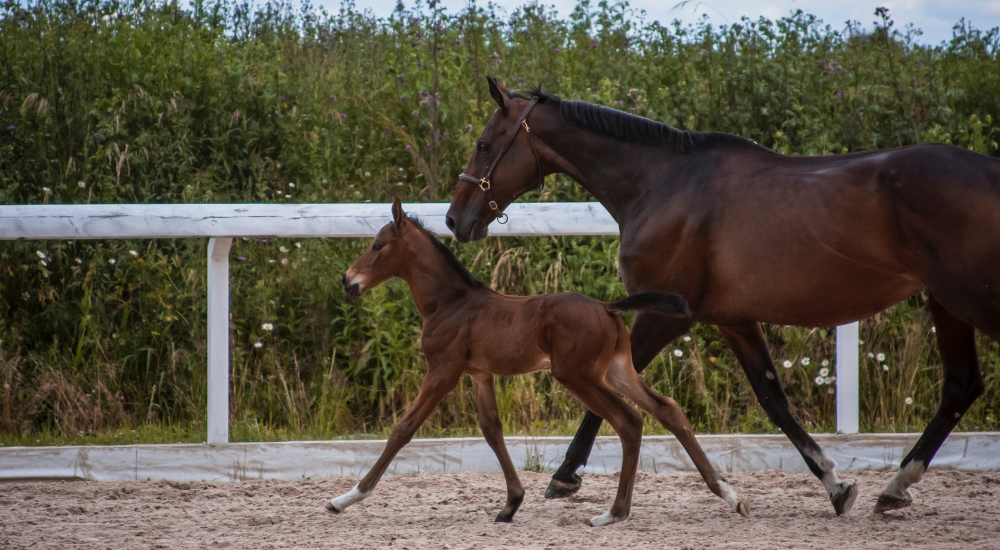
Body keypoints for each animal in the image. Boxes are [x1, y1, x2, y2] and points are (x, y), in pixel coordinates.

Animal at [324, 199, 748, 532]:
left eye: (378, 246)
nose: (346, 280)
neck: (450, 304)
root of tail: (607, 307)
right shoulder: (479, 374)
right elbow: (492, 430)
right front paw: (511, 504)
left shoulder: (443, 371)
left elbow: (403, 429)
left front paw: (345, 499)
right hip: (617, 370)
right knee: (666, 409)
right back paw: (728, 494)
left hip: (577, 375)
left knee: (629, 421)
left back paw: (613, 513)